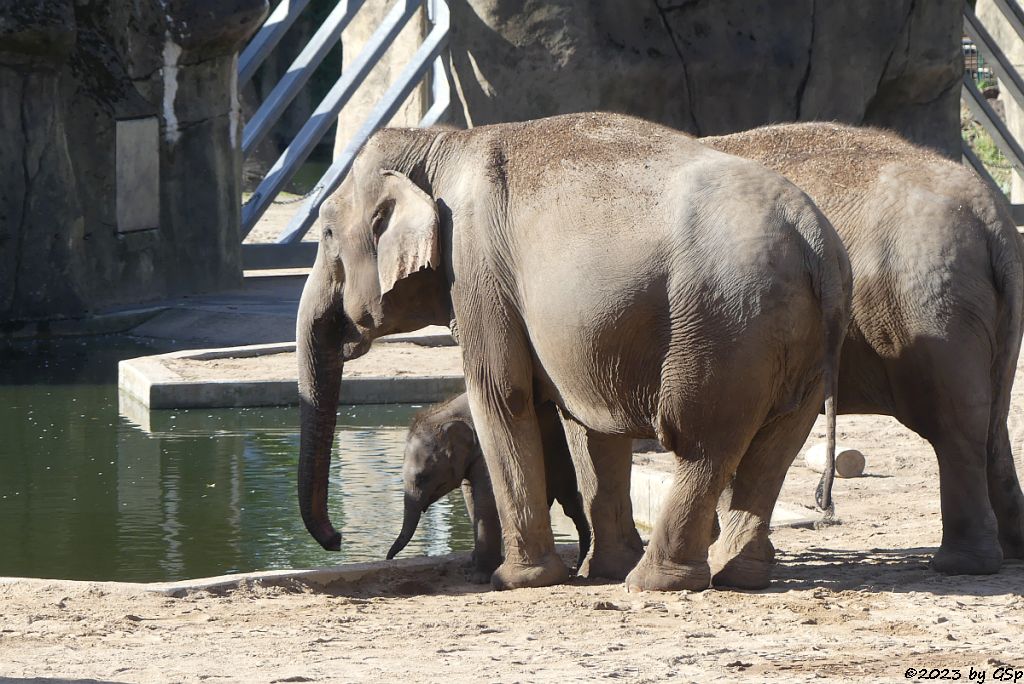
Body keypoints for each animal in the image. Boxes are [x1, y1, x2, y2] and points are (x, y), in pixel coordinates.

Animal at [385, 389, 593, 581]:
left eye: (422, 477)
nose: (388, 558)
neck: (447, 413)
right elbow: (472, 501)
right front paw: (472, 565)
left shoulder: (488, 452)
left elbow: (486, 502)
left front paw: (480, 577)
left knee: (572, 505)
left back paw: (580, 567)